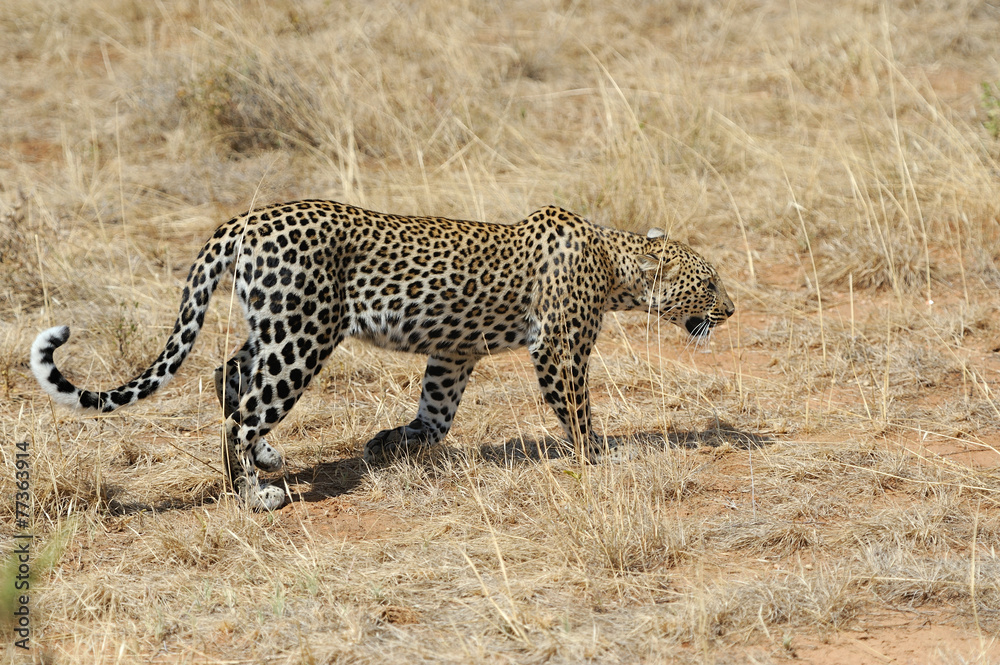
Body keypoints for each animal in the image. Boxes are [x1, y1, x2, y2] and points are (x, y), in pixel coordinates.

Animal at [31, 200, 734, 511]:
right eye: (708, 282)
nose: (730, 311)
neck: (615, 265)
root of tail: (244, 220)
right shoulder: (558, 351)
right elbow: (579, 413)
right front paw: (600, 457)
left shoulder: (454, 354)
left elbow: (436, 415)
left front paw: (391, 443)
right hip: (302, 335)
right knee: (244, 410)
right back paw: (254, 493)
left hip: (274, 326)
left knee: (228, 374)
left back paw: (267, 460)